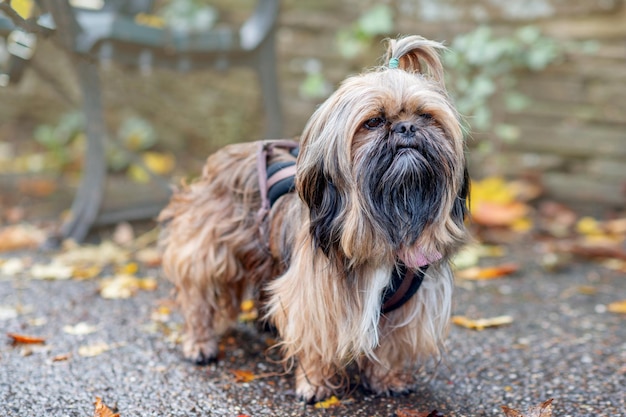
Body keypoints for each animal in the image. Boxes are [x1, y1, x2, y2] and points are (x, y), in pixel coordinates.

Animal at [157, 36, 468, 404]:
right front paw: (314, 384)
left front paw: (387, 378)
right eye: (374, 122)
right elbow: (316, 341)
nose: (407, 127)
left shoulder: (408, 306)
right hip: (206, 251)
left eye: (425, 116)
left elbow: (391, 345)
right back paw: (199, 343)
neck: (387, 222)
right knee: (199, 299)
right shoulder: (317, 298)